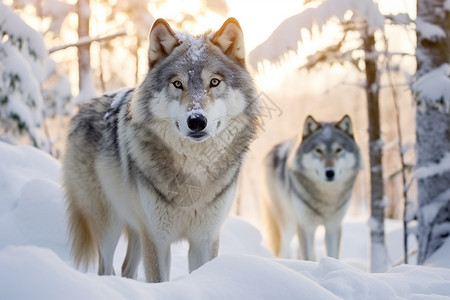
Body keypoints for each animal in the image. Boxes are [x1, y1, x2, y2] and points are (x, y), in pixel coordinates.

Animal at [63, 17, 260, 282]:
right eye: (177, 84)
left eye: (214, 82)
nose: (196, 121)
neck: (194, 171)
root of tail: (81, 110)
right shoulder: (157, 238)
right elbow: (158, 279)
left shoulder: (204, 239)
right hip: (110, 224)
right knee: (106, 268)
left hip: (136, 229)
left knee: (127, 268)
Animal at [262, 115, 360, 260]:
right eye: (318, 150)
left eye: (338, 150)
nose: (330, 173)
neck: (326, 197)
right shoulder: (306, 227)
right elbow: (306, 255)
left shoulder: (333, 227)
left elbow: (332, 255)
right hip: (288, 224)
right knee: (284, 249)